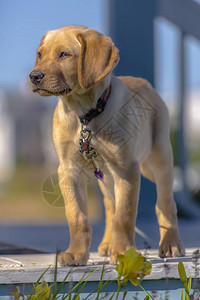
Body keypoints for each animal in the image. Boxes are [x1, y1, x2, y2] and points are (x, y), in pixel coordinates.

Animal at [29, 25, 184, 264]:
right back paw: (107, 244)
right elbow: (77, 216)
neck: (85, 115)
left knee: (166, 204)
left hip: (159, 160)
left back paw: (171, 244)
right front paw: (76, 253)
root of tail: (145, 82)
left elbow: (125, 215)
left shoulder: (126, 169)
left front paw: (123, 253)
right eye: (40, 54)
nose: (34, 76)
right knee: (111, 206)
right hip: (104, 174)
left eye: (64, 54)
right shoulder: (68, 170)